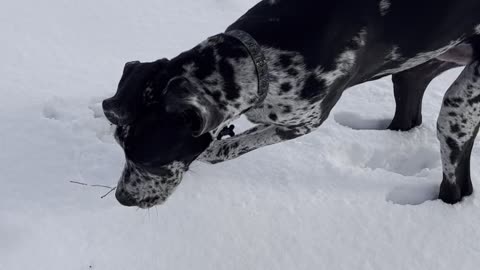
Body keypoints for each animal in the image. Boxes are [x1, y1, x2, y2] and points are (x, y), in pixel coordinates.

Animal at [103, 0, 480, 209]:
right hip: (417, 68)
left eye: (151, 160)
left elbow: (228, 146)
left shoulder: (303, 120)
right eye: (120, 147)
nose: (122, 197)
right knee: (408, 113)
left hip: (457, 107)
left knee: (457, 183)